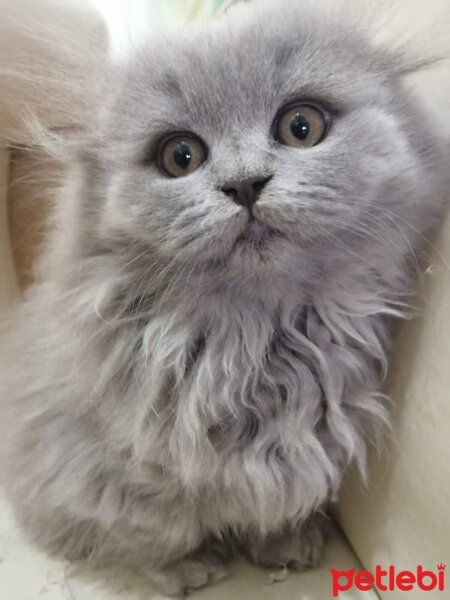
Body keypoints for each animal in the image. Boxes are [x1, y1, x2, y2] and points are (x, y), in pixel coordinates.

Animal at [0, 0, 450, 596]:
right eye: (180, 156)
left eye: (301, 126)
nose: (245, 184)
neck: (260, 341)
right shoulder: (97, 474)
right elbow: (155, 532)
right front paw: (184, 569)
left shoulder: (307, 444)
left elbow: (275, 507)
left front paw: (285, 544)